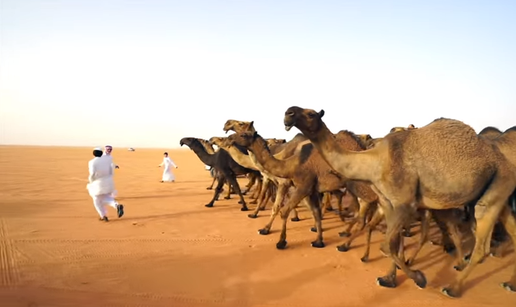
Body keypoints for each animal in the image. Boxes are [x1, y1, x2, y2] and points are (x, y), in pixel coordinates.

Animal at [282, 106, 516, 298]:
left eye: (311, 114)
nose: (288, 113)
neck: (374, 161)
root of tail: (503, 160)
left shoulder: (405, 203)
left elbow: (386, 245)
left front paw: (419, 278)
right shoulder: (387, 203)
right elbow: (392, 245)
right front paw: (388, 279)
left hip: (496, 187)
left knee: (481, 245)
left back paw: (453, 288)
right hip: (498, 191)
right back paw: (509, 283)